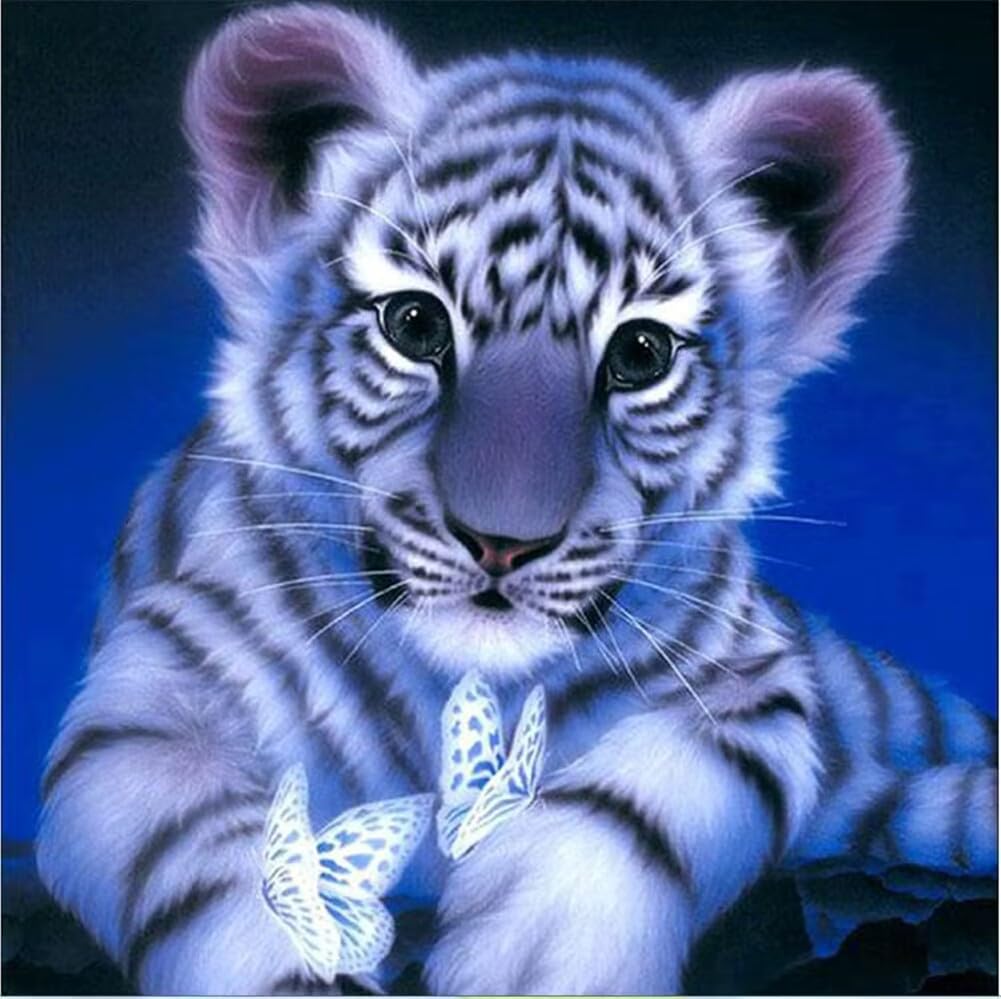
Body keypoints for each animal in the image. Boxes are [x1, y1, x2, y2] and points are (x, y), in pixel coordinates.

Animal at [36, 3, 997, 995]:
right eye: (414, 324)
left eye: (640, 353)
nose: (502, 542)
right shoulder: (151, 698)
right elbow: (217, 856)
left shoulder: (752, 681)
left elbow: (641, 799)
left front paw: (538, 953)